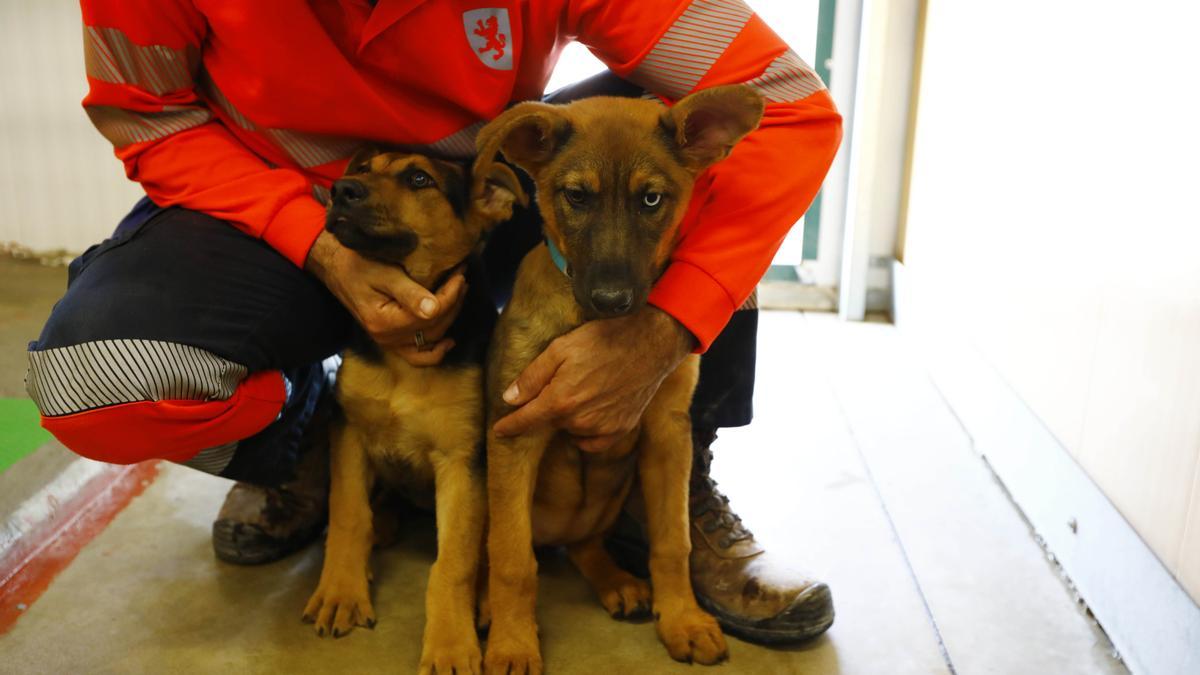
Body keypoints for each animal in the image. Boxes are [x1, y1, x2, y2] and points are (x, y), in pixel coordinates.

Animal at [300, 148, 525, 672]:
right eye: (363, 168)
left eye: (420, 179)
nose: (341, 189)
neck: (407, 354)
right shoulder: (349, 429)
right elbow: (348, 514)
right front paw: (340, 590)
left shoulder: (462, 459)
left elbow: (455, 560)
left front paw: (450, 643)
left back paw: (485, 597)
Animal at [475, 85, 763, 672]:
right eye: (576, 196)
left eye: (651, 200)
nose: (612, 300)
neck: (589, 325)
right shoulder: (514, 433)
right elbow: (512, 558)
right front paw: (513, 643)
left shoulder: (668, 432)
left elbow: (674, 541)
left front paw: (682, 620)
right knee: (502, 551)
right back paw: (489, 606)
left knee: (587, 545)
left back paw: (617, 582)